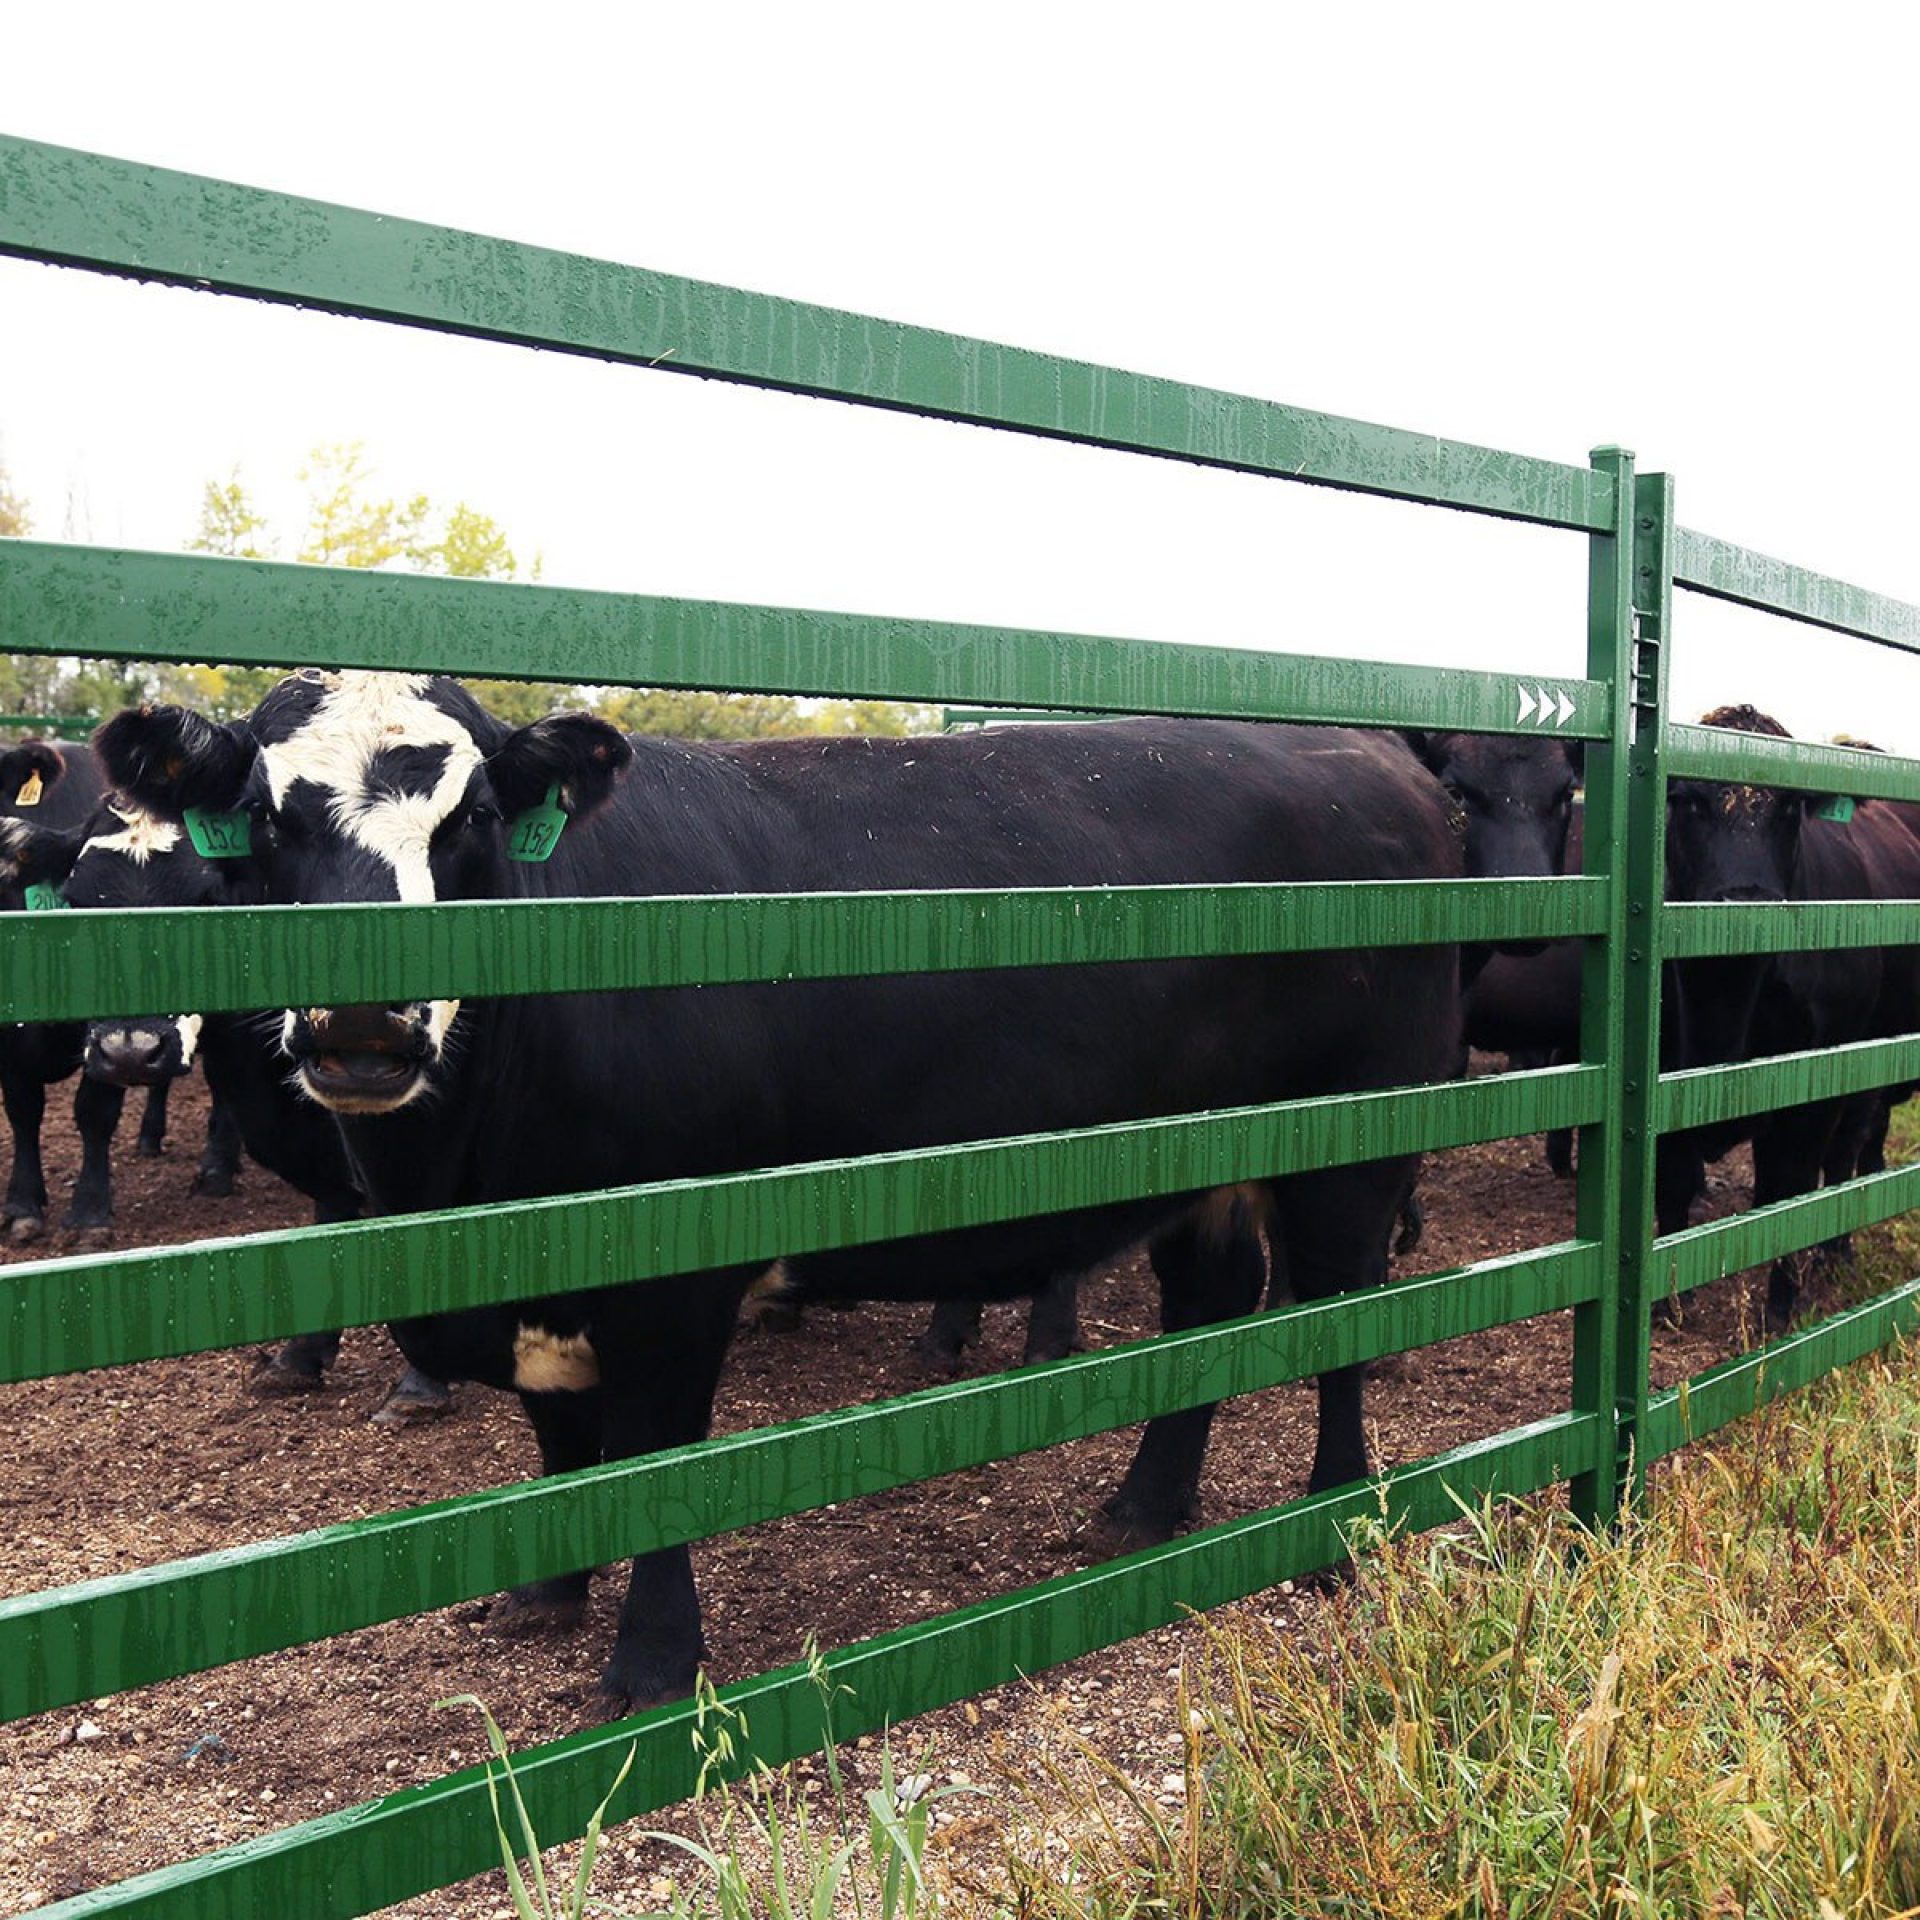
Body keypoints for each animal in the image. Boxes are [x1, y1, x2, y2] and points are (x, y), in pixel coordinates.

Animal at [100, 671, 1467, 1708]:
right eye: (264, 818)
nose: (365, 1024)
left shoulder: (675, 1277)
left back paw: (1336, 1519)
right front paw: (546, 1593)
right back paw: (1142, 1508)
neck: (465, 1190)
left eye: (473, 814)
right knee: (1213, 1301)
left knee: (1342, 1311)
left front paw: (652, 1664)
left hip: (1363, 1127)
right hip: (1197, 1155)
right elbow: (560, 1445)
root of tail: (1364, 750)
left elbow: (649, 1460)